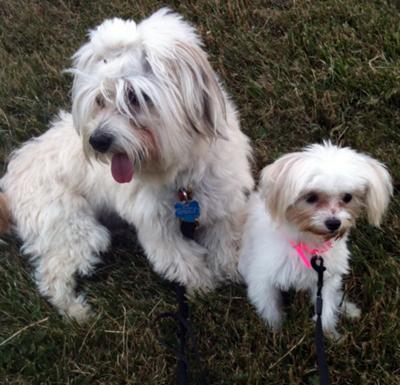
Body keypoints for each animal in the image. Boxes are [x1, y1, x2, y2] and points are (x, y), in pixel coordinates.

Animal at [0, 9, 253, 320]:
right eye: (99, 99)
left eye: (134, 97)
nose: (97, 141)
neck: (182, 180)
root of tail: (10, 187)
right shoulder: (158, 228)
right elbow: (184, 262)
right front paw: (202, 290)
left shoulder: (224, 204)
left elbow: (227, 244)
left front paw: (232, 273)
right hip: (74, 229)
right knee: (53, 274)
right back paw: (76, 312)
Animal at [239, 142, 392, 338]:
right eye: (311, 197)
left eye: (347, 197)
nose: (334, 223)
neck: (309, 240)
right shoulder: (262, 278)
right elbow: (270, 307)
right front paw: (276, 330)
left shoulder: (326, 277)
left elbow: (326, 307)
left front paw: (329, 333)